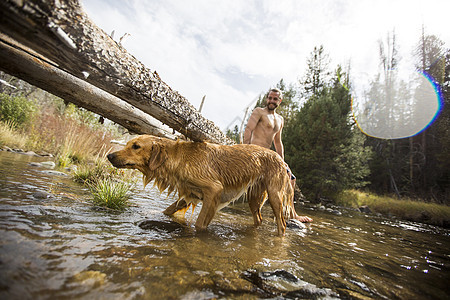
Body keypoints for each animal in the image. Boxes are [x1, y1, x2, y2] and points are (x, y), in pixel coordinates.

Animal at [107, 135, 294, 236]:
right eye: (128, 144)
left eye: (136, 146)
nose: (110, 156)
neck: (177, 158)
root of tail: (282, 160)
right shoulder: (189, 194)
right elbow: (167, 211)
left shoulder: (214, 190)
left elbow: (199, 223)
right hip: (255, 198)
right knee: (259, 219)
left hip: (275, 195)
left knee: (282, 224)